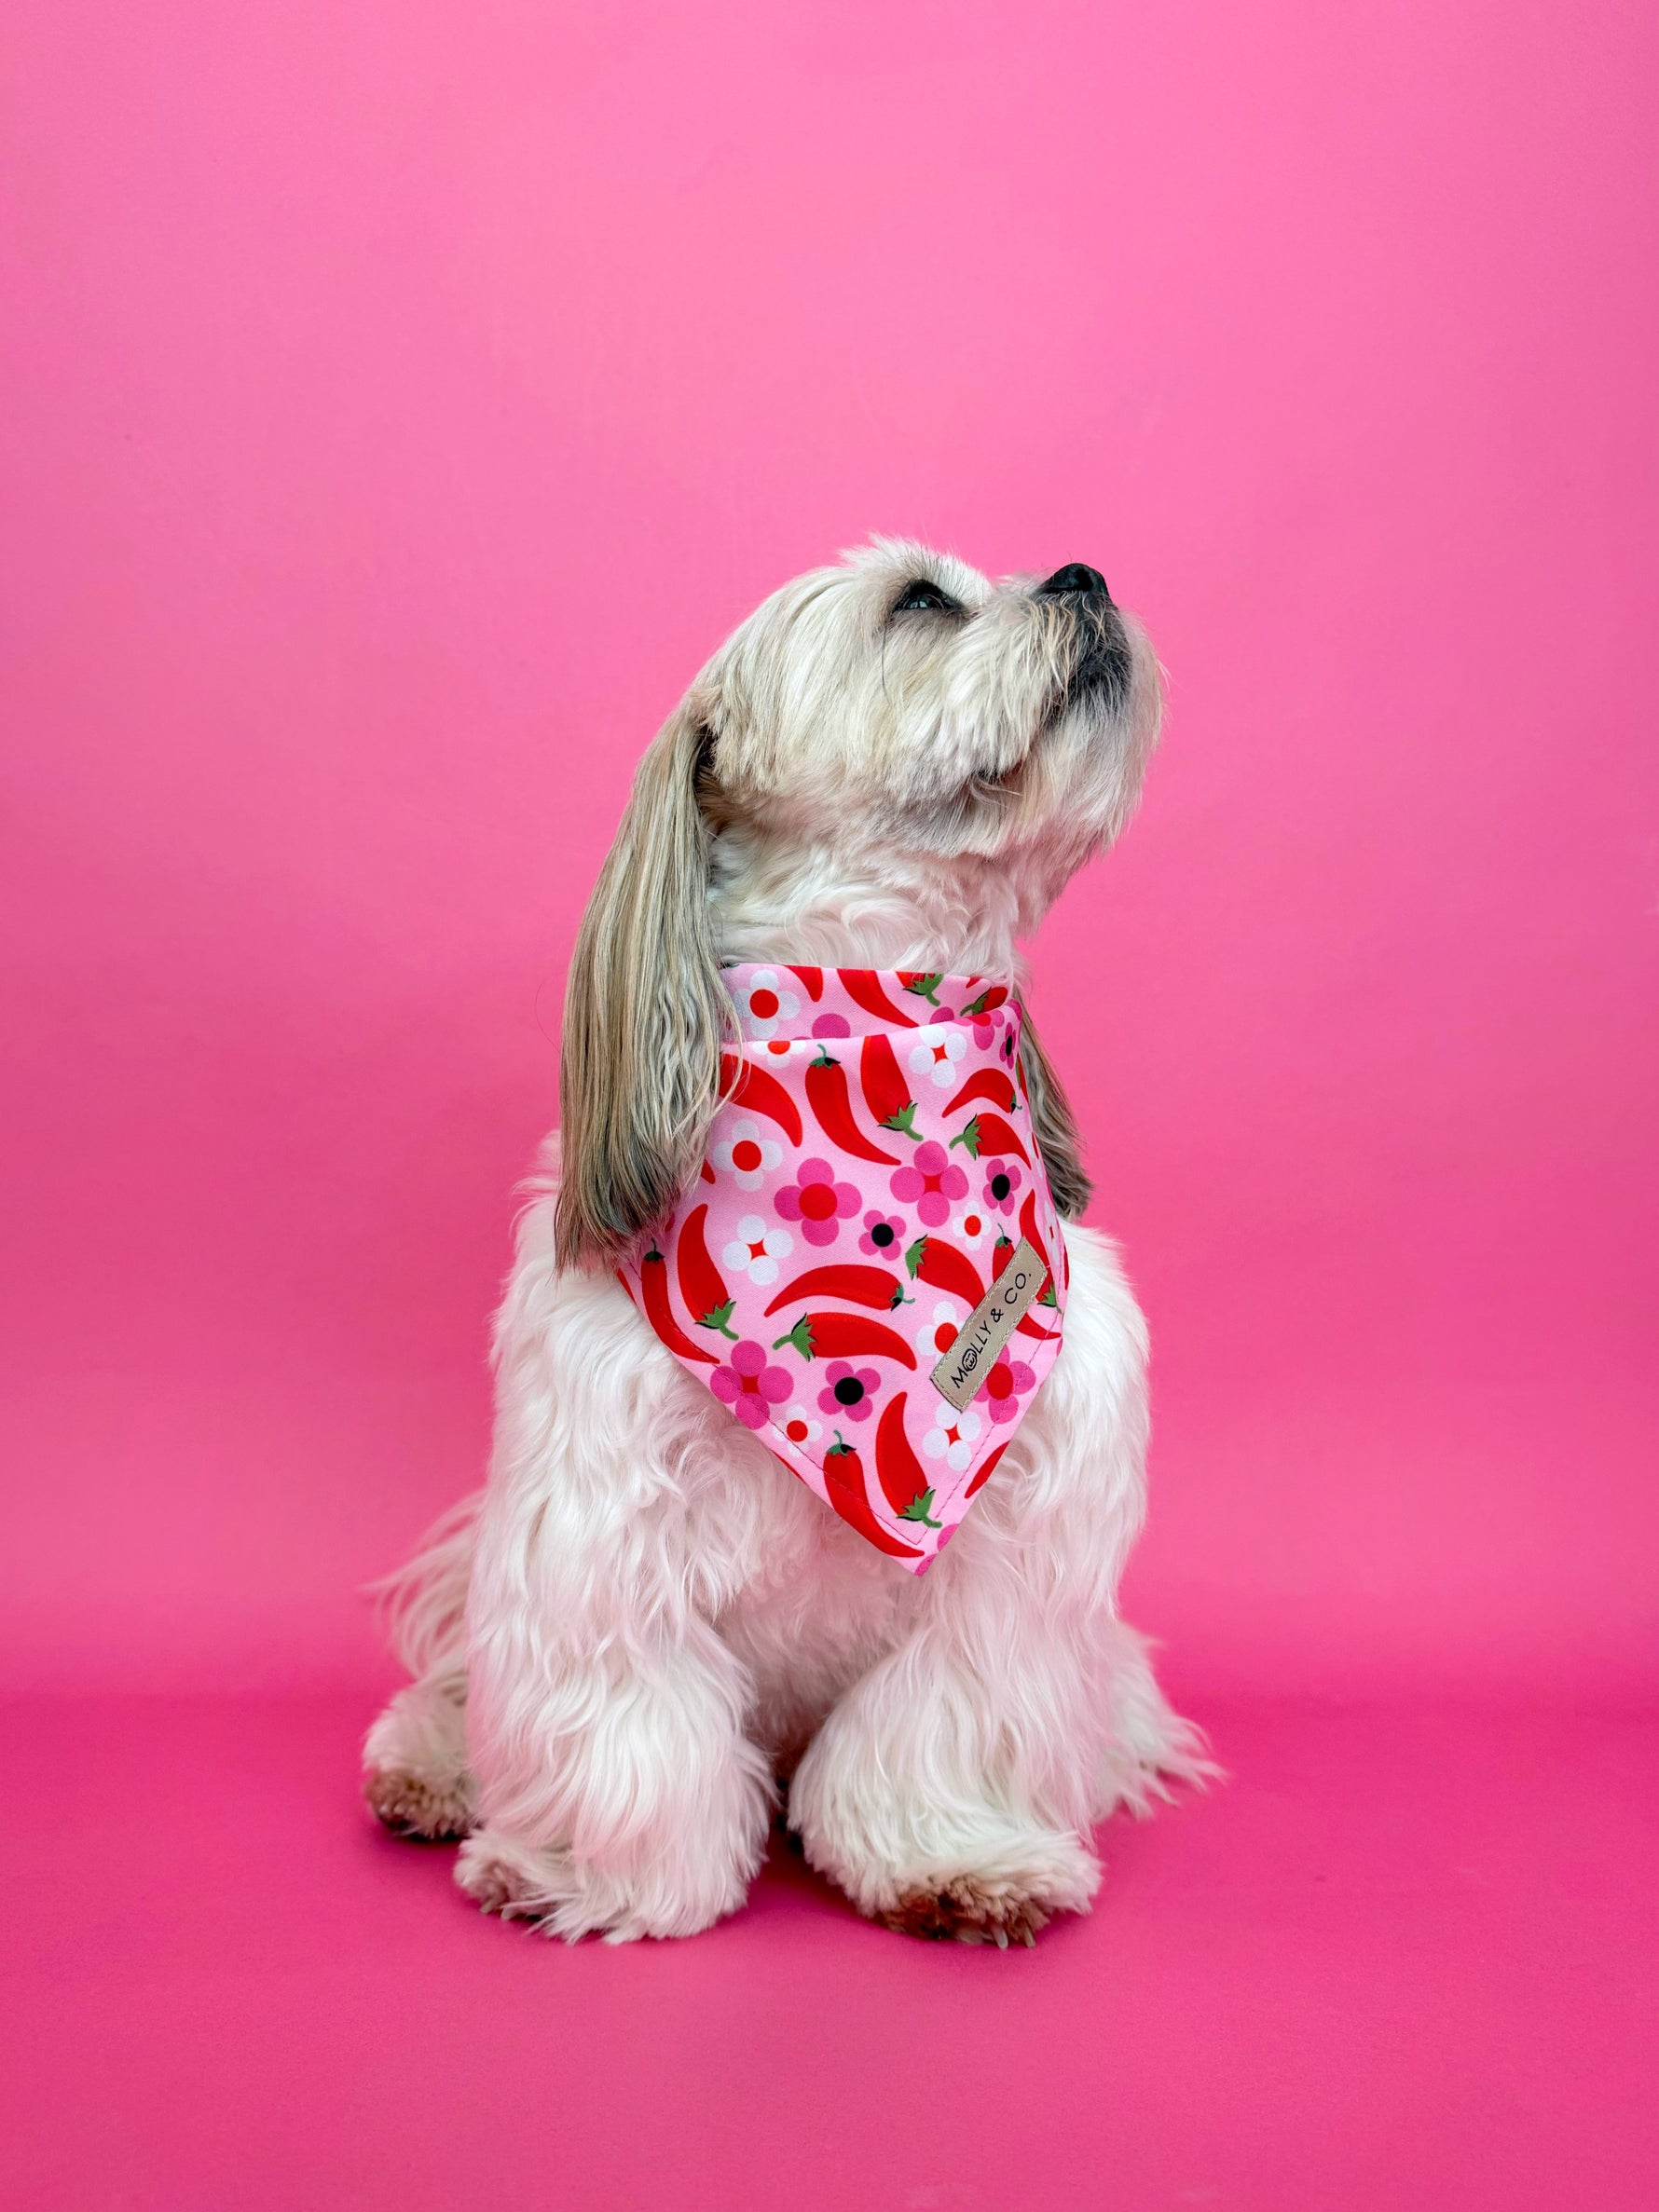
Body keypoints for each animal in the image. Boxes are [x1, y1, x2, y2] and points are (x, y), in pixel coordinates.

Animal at [364, 539, 1206, 1943]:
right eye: (920, 601)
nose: (1082, 574)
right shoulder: (601, 1516)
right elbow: (629, 1723)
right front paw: (596, 1881)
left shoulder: (1016, 1549)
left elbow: (944, 1712)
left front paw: (956, 1860)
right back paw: (431, 1769)